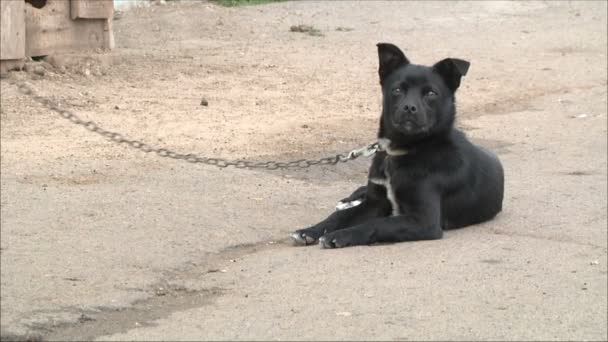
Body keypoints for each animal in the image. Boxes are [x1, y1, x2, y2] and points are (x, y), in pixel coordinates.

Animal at [290, 44, 504, 250]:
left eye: (431, 93)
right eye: (397, 90)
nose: (409, 108)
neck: (402, 151)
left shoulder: (424, 221)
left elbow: (377, 224)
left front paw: (340, 236)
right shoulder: (375, 203)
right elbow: (339, 217)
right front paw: (310, 230)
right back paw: (347, 201)